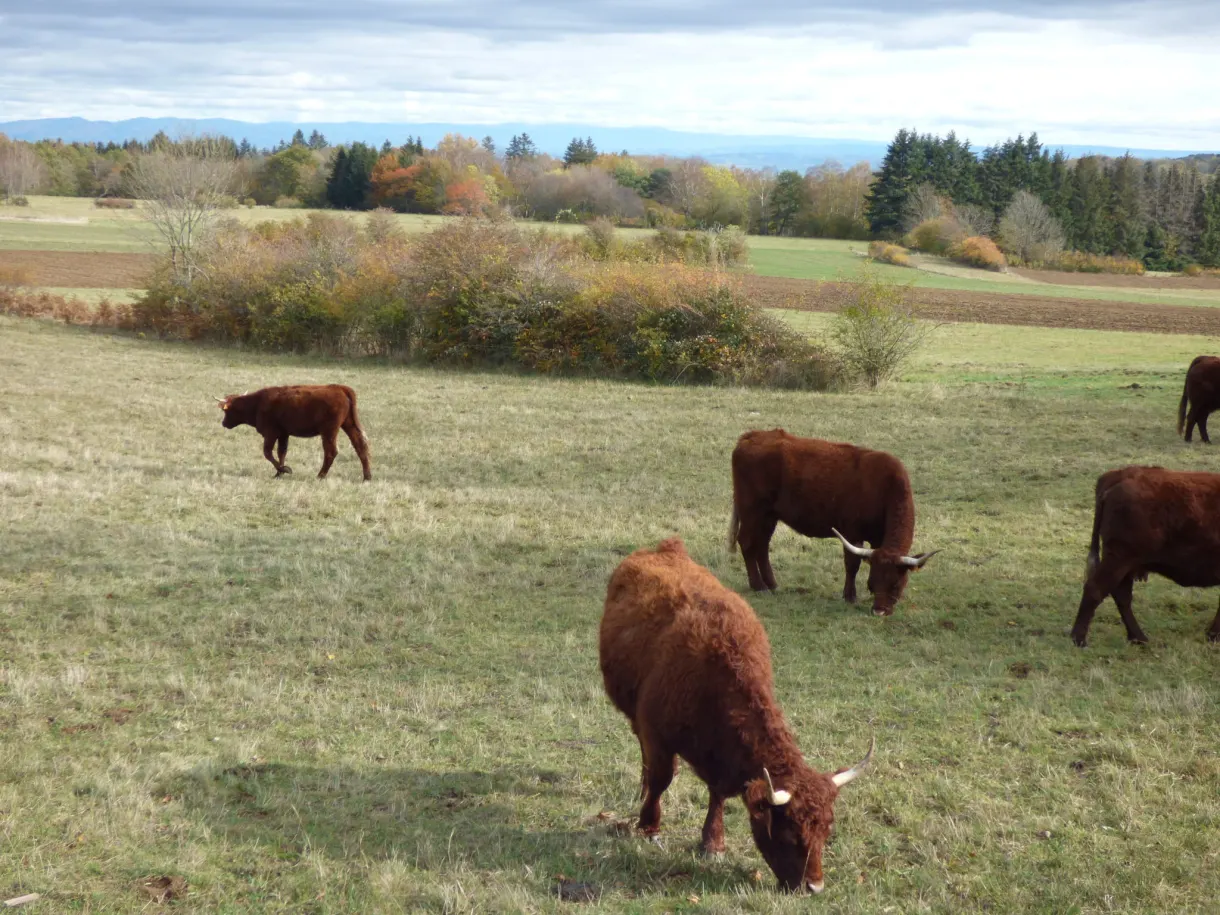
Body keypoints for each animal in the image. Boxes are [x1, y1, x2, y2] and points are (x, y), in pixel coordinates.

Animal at [216, 385, 371, 481]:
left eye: (226, 411)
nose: (223, 423)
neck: (257, 403)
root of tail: (339, 388)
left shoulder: (271, 433)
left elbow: (268, 453)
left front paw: (285, 470)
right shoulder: (283, 434)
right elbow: (281, 452)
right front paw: (278, 473)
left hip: (328, 432)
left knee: (331, 452)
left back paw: (320, 475)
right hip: (349, 425)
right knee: (360, 446)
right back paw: (367, 477)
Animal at [600, 538, 873, 894]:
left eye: (826, 830)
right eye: (790, 833)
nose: (814, 887)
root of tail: (664, 548)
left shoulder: (721, 760)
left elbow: (717, 793)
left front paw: (713, 842)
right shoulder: (656, 734)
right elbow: (661, 778)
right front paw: (649, 826)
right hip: (634, 717)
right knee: (646, 761)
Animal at [727, 429, 938, 616]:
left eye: (895, 584)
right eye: (872, 583)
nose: (879, 611)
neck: (886, 487)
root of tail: (750, 436)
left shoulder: (878, 539)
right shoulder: (852, 532)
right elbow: (852, 564)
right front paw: (849, 596)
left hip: (769, 516)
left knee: (762, 545)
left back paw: (772, 584)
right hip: (752, 511)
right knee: (747, 543)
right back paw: (759, 586)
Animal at [1071, 465, 1220, 647]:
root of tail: (1120, 474)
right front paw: (1214, 635)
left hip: (1126, 565)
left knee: (1121, 596)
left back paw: (1138, 638)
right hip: (1119, 559)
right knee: (1096, 589)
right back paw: (1079, 639)